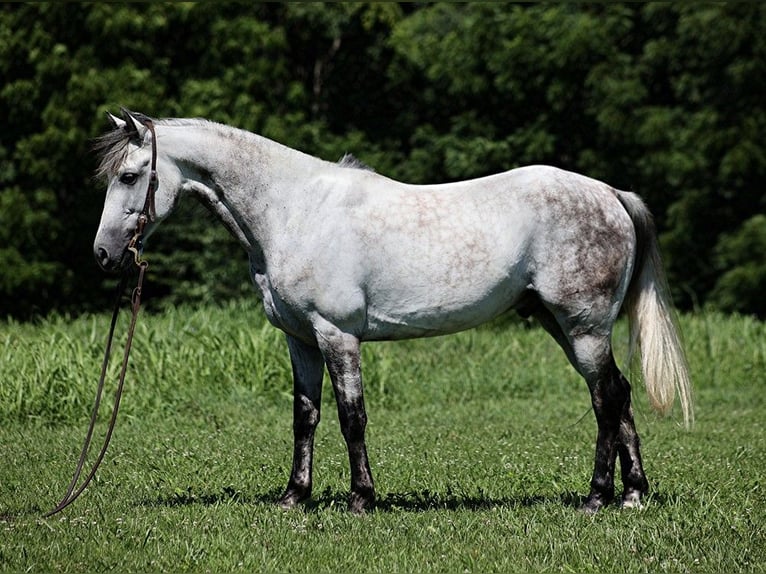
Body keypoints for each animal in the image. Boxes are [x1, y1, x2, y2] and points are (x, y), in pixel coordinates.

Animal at [93, 110, 692, 516]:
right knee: (618, 397)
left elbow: (351, 416)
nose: (102, 255)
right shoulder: (300, 340)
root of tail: (611, 194)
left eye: (130, 176)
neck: (294, 210)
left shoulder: (336, 335)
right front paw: (294, 496)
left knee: (608, 398)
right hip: (565, 327)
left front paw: (361, 498)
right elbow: (305, 416)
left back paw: (597, 497)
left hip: (583, 328)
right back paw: (632, 494)